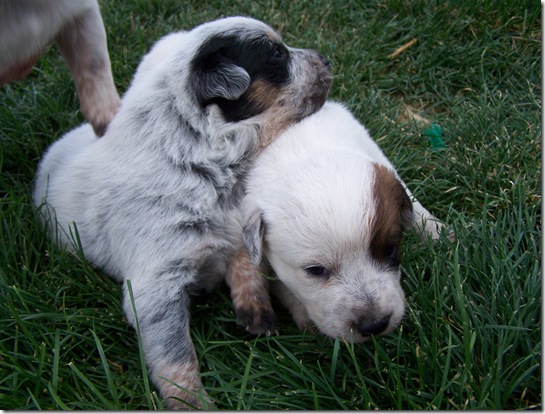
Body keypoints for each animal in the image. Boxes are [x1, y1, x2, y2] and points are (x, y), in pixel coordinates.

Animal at [33, 16, 331, 408]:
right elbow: (176, 356)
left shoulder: (239, 225)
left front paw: (257, 314)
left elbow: (245, 264)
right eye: (277, 54)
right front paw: (193, 402)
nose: (326, 59)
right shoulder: (156, 285)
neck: (201, 156)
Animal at [228, 101, 448, 343]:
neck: (306, 150)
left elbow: (410, 198)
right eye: (316, 270)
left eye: (391, 250)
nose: (375, 325)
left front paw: (434, 230)